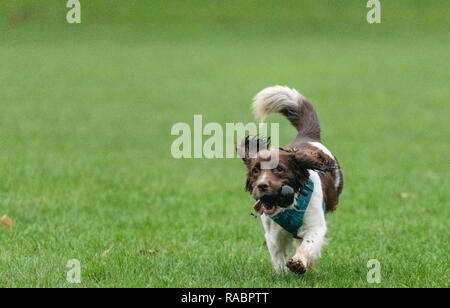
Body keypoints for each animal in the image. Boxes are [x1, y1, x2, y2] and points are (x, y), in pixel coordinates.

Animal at [237, 85, 342, 274]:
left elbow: (309, 243)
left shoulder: (315, 225)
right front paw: (283, 273)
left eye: (280, 169)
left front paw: (299, 263)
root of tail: (306, 137)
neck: (287, 205)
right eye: (256, 171)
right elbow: (279, 256)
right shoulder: (273, 234)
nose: (262, 185)